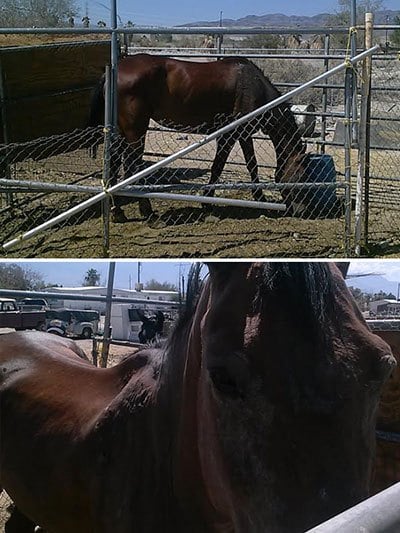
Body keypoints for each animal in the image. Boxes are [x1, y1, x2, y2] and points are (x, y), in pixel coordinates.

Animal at [89, 54, 310, 220]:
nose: (300, 211)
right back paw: (148, 212)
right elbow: (229, 166)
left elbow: (240, 165)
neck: (253, 85)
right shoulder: (234, 133)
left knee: (115, 163)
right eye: (301, 176)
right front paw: (212, 202)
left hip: (122, 131)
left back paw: (117, 210)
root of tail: (114, 70)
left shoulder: (238, 134)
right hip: (136, 130)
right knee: (133, 165)